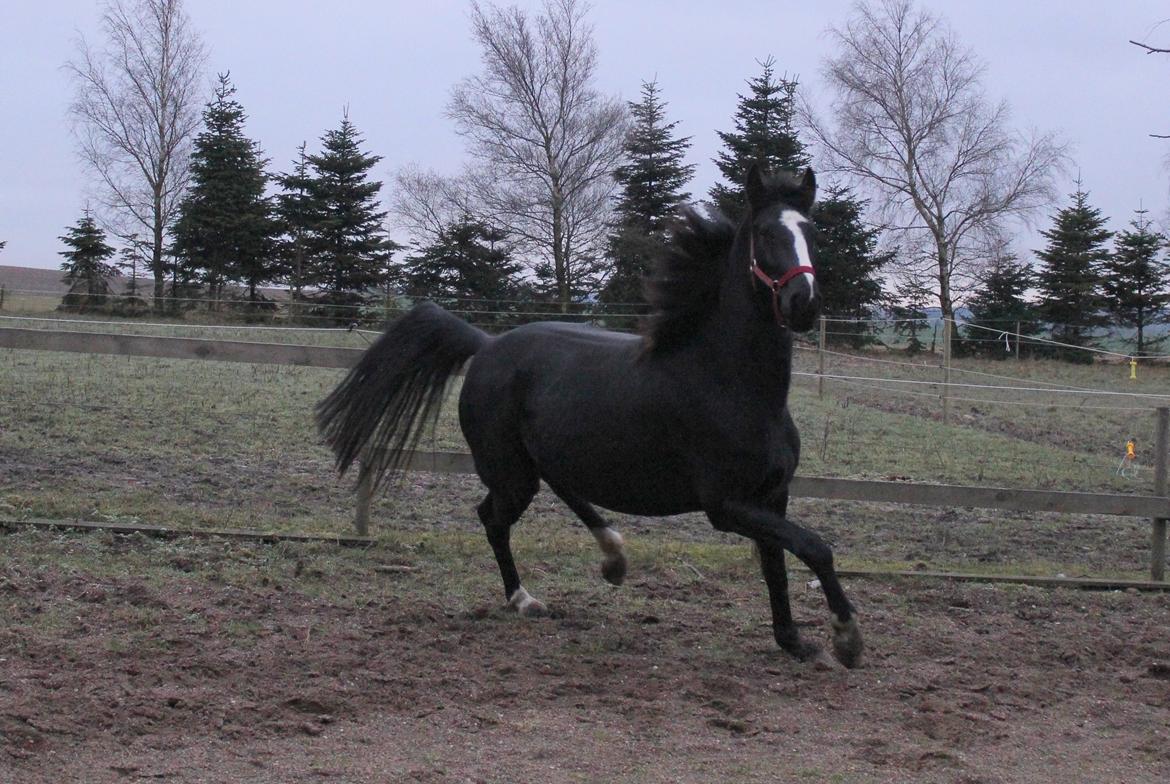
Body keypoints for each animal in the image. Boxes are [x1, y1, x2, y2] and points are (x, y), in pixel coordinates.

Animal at [315, 166, 865, 669]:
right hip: (511, 471)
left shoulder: (772, 494)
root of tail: (487, 344)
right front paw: (846, 639)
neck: (730, 384)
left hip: (545, 458)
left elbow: (778, 561)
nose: (802, 303)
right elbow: (815, 548)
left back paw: (614, 558)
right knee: (492, 517)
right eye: (767, 234)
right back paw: (525, 599)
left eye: (811, 232)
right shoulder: (726, 504)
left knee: (561, 490)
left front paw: (795, 642)